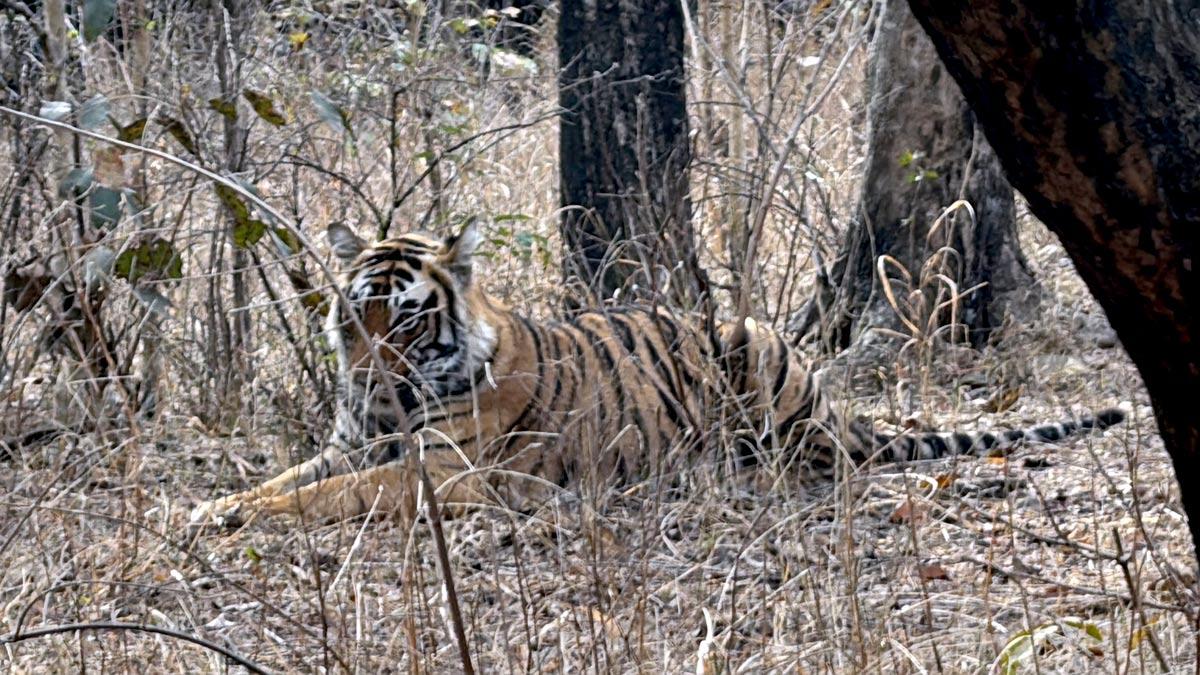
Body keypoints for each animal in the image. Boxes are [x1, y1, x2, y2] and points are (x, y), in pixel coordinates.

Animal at [190, 221, 1126, 527]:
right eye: (355, 315)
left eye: (408, 318)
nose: (364, 377)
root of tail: (834, 406)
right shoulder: (355, 442)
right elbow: (290, 476)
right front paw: (208, 506)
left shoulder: (448, 469)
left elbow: (327, 495)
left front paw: (237, 517)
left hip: (754, 347)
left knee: (805, 460)